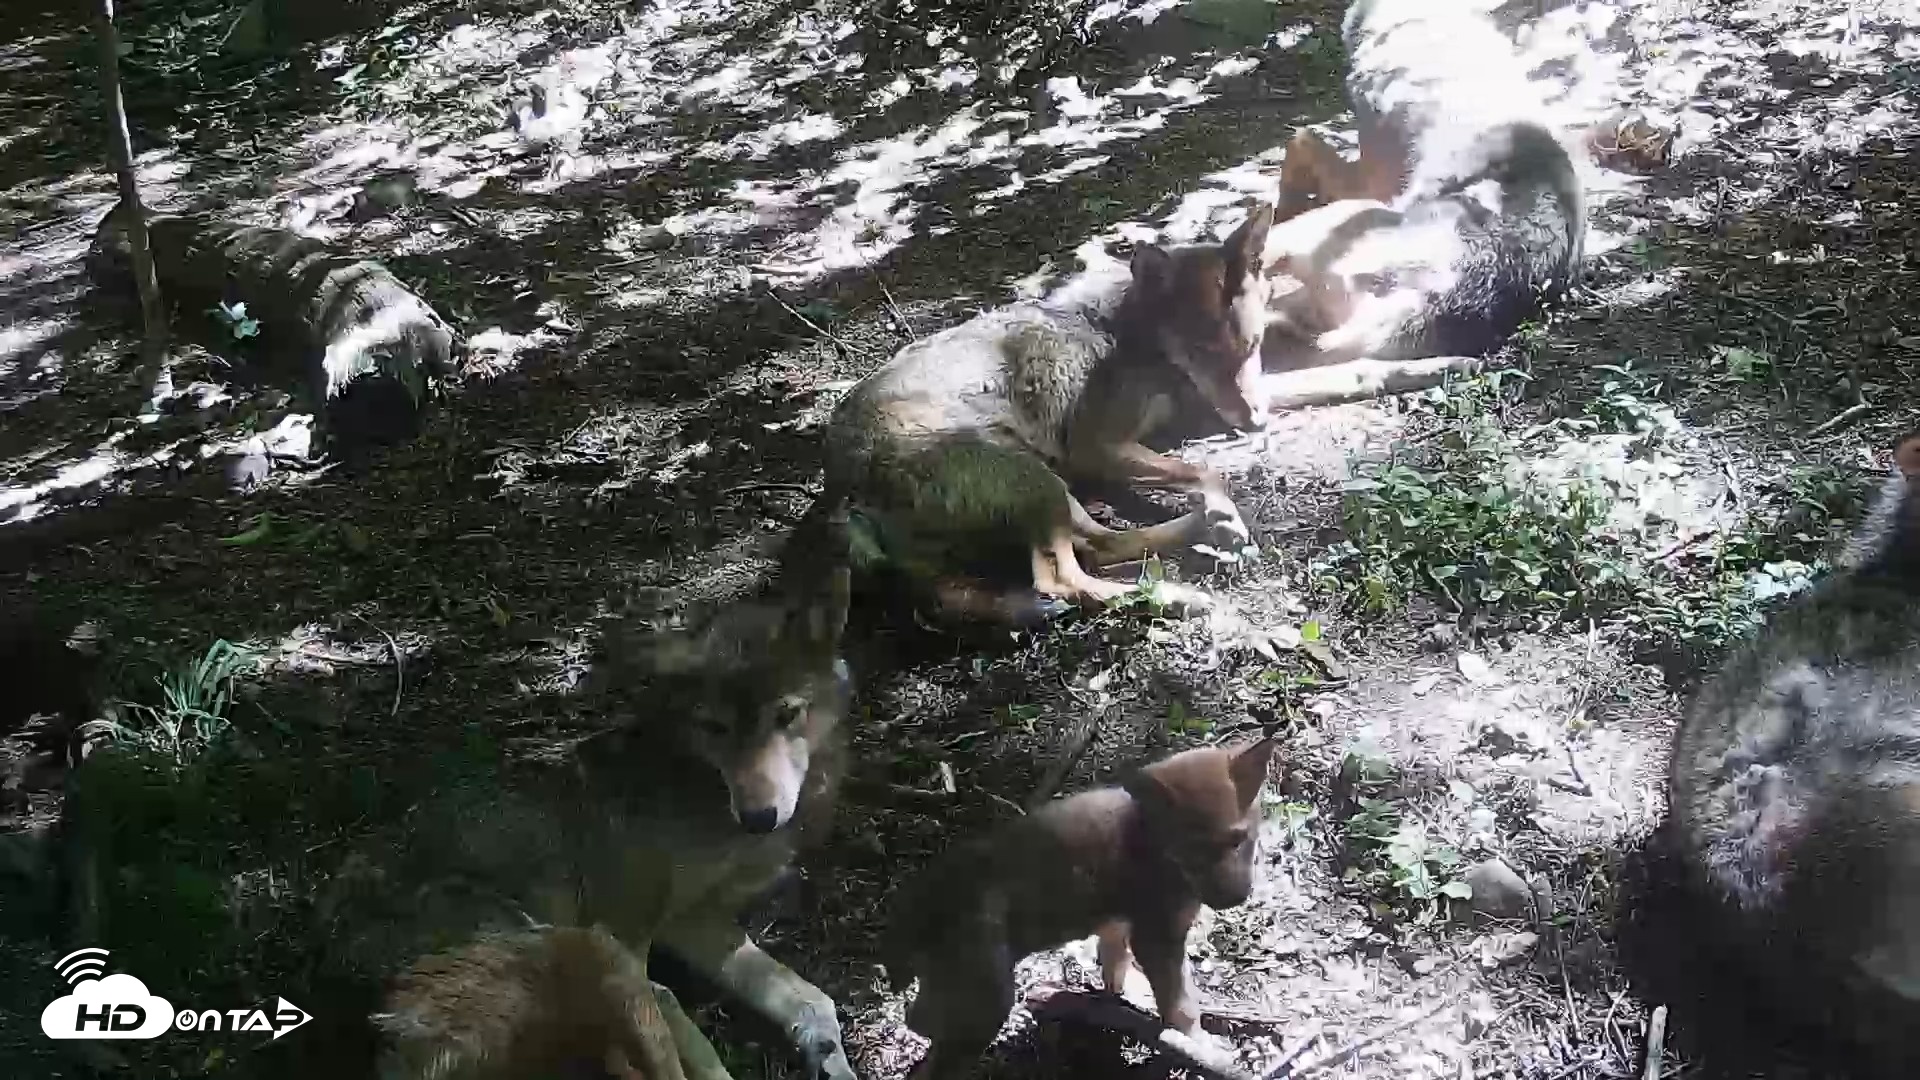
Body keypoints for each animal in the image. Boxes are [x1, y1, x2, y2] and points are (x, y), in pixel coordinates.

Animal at [793, 205, 1275, 627]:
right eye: (1203, 353)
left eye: (1254, 345)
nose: (1257, 423)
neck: (1128, 327)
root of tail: (840, 490)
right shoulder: (1098, 446)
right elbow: (1204, 471)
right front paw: (1222, 506)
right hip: (1037, 481)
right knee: (1064, 578)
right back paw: (1177, 593)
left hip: (1047, 493)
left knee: (1096, 546)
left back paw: (1200, 531)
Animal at [883, 738, 1278, 1079]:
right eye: (1192, 850)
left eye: (1238, 840)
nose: (1233, 900)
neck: (1151, 833)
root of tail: (911, 905)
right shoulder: (1158, 937)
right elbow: (1179, 1001)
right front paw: (1199, 1043)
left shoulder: (1120, 923)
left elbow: (1115, 964)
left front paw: (1118, 995)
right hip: (987, 998)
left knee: (919, 1019)